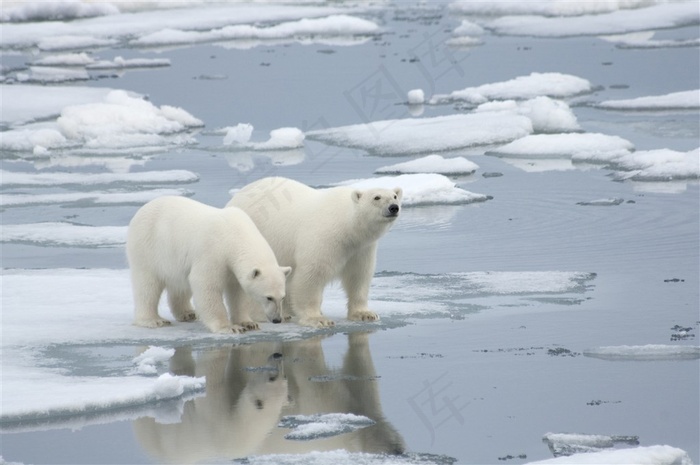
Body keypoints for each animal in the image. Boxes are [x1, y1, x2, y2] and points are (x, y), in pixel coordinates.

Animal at [127, 196, 292, 334]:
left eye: (282, 297)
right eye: (269, 297)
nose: (277, 319)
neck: (234, 234)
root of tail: (142, 209)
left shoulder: (232, 267)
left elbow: (238, 293)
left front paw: (248, 323)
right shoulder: (213, 252)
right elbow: (206, 284)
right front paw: (229, 327)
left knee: (180, 285)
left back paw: (187, 313)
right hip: (148, 248)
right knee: (147, 285)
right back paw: (153, 320)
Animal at [227, 177, 402, 326]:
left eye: (395, 196)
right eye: (376, 197)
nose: (394, 207)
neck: (346, 226)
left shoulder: (361, 249)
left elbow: (358, 276)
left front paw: (365, 314)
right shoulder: (325, 238)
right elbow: (311, 276)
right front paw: (318, 319)